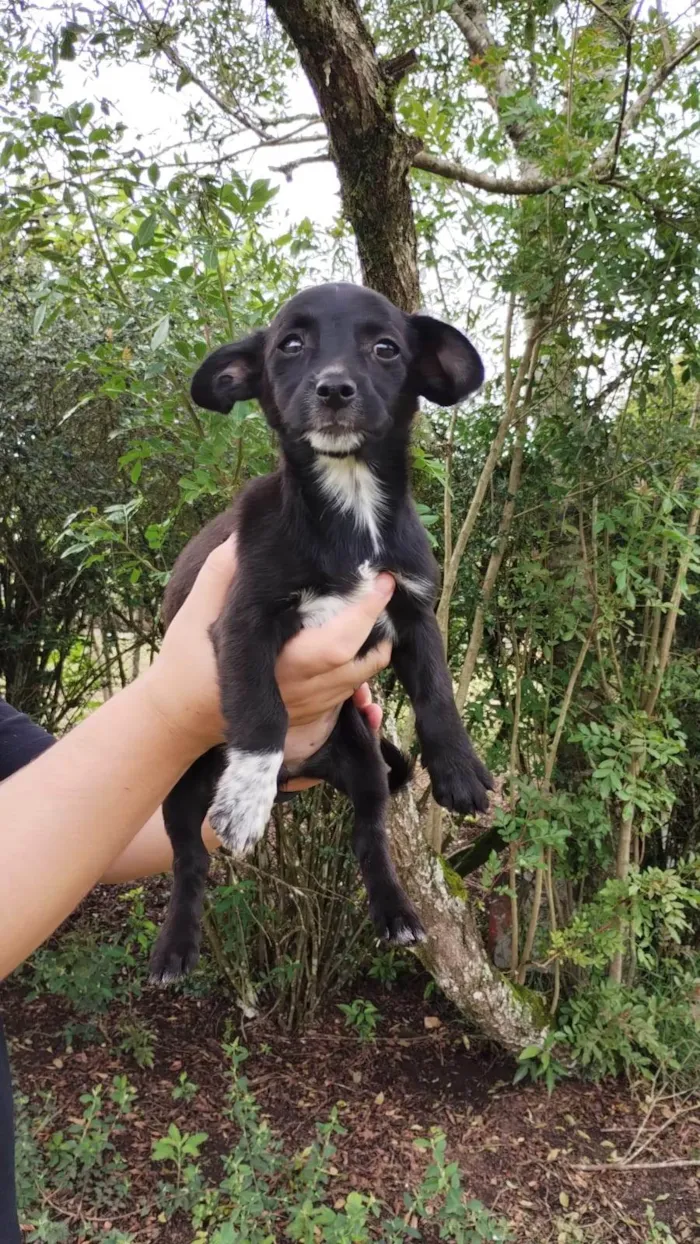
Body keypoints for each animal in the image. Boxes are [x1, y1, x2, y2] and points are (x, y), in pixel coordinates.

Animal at [150, 279, 494, 980]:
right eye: (290, 345)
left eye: (386, 348)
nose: (334, 389)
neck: (351, 505)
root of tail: (302, 776)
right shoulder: (244, 619)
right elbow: (262, 711)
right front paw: (245, 798)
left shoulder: (413, 609)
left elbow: (438, 691)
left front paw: (458, 768)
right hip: (180, 789)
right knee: (189, 861)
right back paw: (176, 945)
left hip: (364, 763)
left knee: (369, 838)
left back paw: (397, 912)